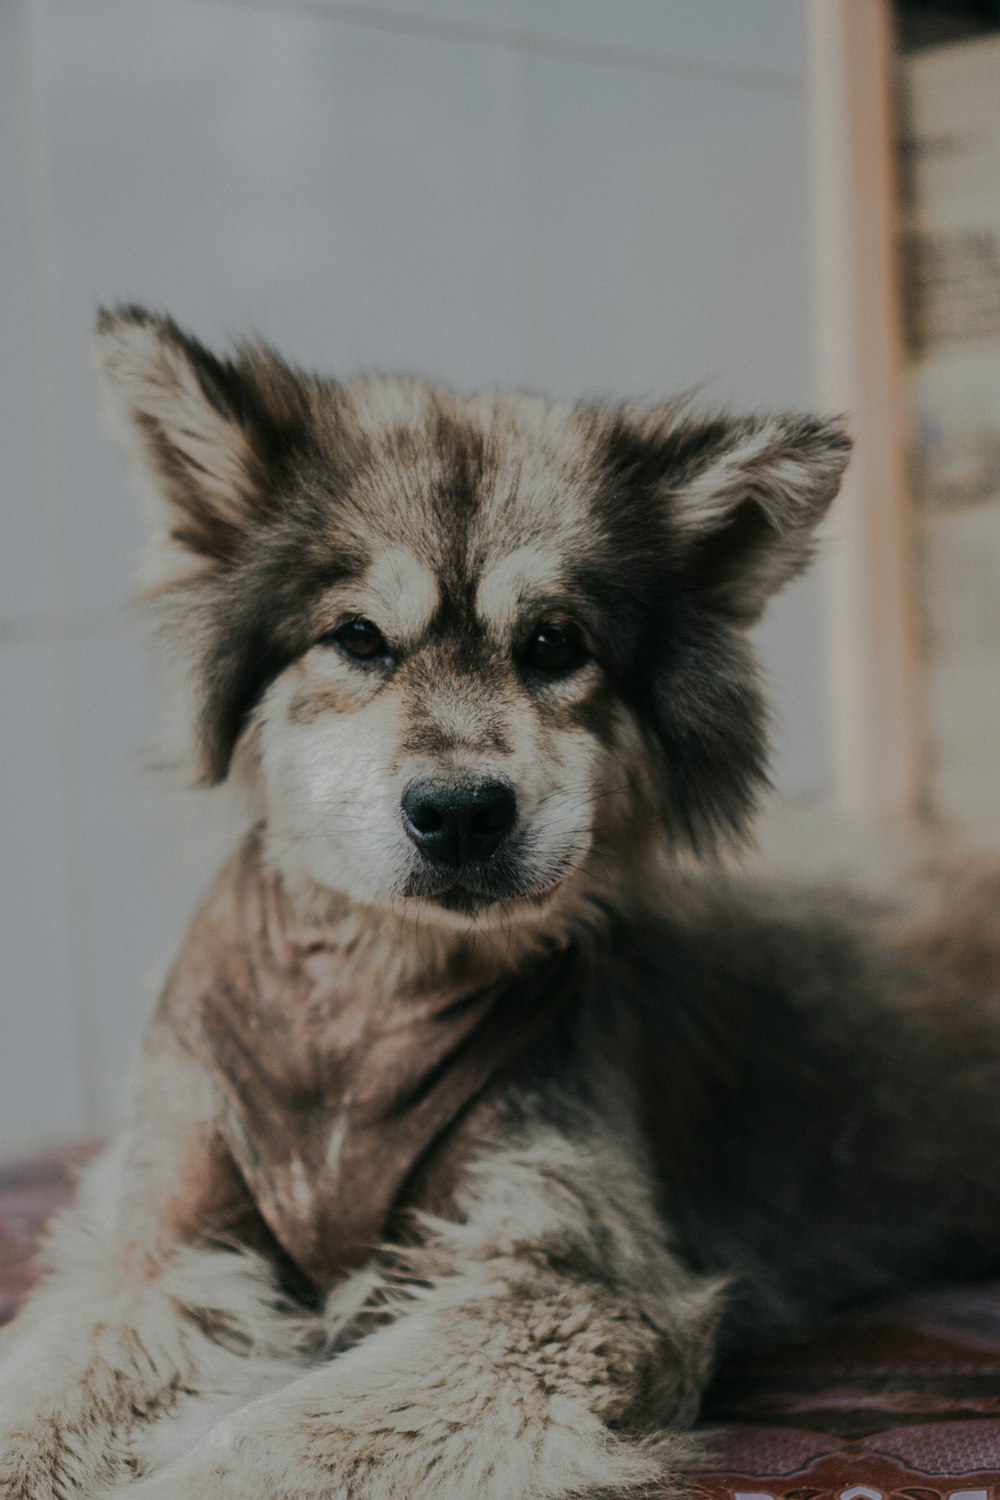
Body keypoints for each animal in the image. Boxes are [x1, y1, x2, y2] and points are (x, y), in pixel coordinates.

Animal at [1, 307, 1000, 1500]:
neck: (370, 998)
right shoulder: (156, 1252)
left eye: (553, 645)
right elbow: (35, 1406)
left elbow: (270, 1438)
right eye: (357, 638)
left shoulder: (567, 1279)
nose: (462, 813)